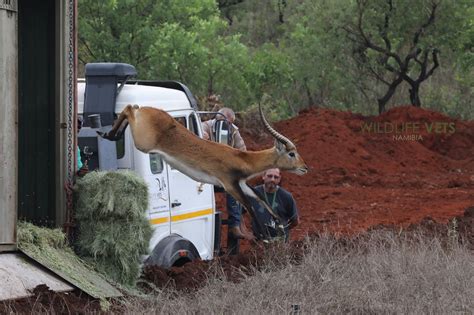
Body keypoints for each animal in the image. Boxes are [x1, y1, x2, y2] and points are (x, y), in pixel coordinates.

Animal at [98, 103, 310, 239]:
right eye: (291, 153)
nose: (305, 168)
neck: (241, 159)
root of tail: (146, 110)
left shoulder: (241, 184)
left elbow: (261, 198)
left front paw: (280, 223)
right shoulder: (229, 185)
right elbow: (249, 206)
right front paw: (266, 235)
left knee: (130, 107)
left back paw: (107, 133)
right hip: (143, 143)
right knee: (128, 108)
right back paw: (106, 133)